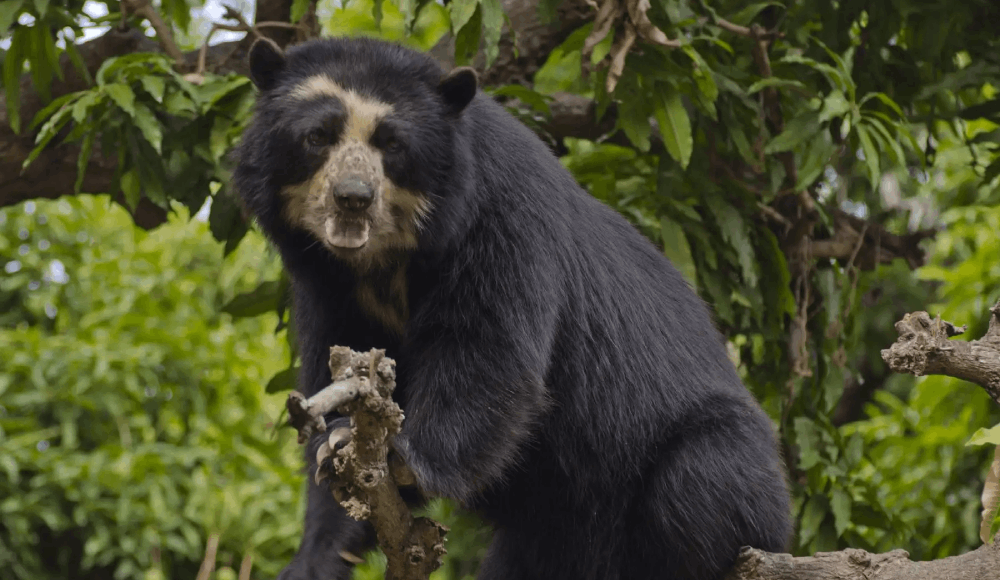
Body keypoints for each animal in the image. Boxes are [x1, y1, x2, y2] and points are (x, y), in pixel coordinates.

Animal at [231, 35, 792, 580]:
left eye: (392, 144)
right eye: (317, 136)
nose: (353, 199)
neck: (383, 262)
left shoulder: (500, 217)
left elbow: (487, 351)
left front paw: (402, 459)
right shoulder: (326, 287)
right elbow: (338, 373)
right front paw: (328, 510)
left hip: (705, 462)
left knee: (699, 483)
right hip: (547, 534)